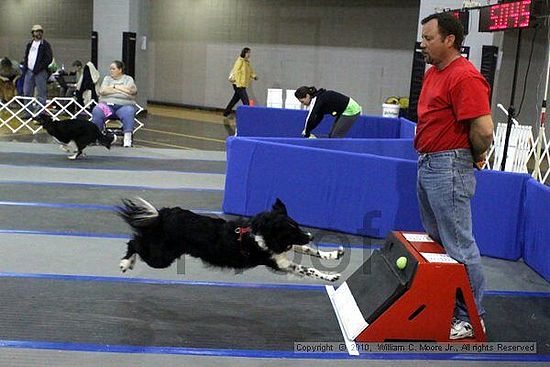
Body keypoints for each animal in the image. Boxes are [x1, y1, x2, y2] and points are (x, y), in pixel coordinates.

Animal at [118, 198, 344, 282]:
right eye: (291, 229)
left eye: (297, 225)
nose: (311, 235)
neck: (262, 233)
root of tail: (162, 215)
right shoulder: (280, 262)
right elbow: (308, 268)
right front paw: (330, 276)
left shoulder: (282, 249)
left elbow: (309, 249)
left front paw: (333, 254)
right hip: (162, 257)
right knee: (134, 242)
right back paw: (125, 263)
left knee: (138, 240)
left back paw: (130, 262)